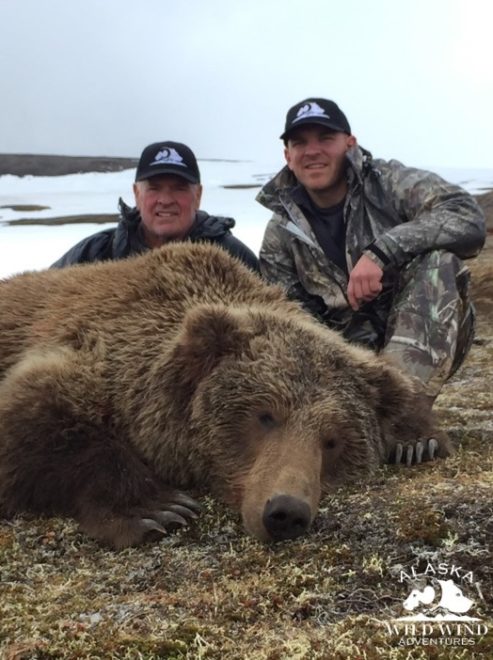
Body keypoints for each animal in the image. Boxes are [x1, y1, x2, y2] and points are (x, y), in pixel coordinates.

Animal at [0, 242, 450, 548]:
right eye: (265, 415)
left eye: (333, 440)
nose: (286, 512)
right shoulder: (100, 353)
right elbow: (35, 416)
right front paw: (158, 509)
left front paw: (416, 441)